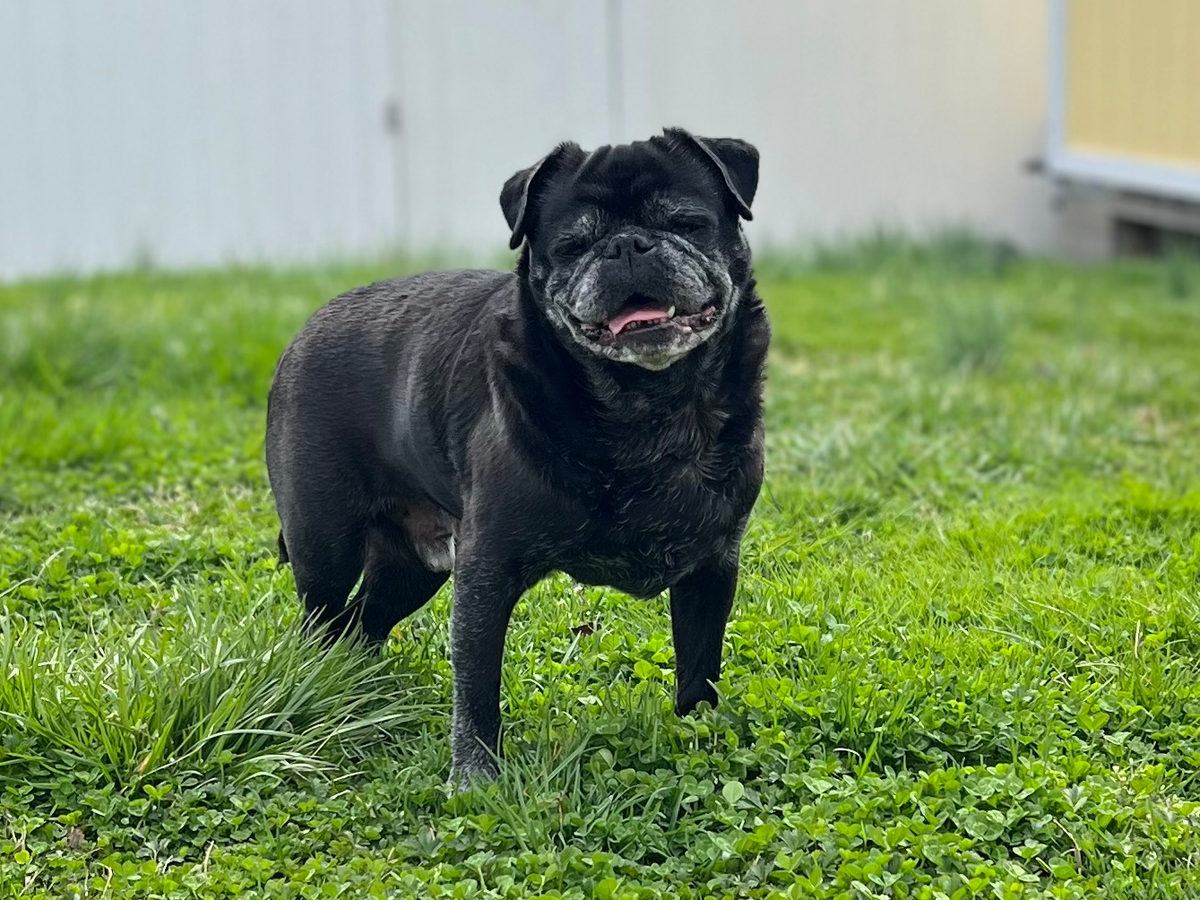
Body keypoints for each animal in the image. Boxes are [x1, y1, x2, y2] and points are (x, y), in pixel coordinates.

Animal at [265, 128, 770, 783]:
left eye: (687, 223)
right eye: (572, 245)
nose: (626, 245)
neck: (647, 405)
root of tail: (301, 334)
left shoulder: (711, 569)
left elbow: (699, 669)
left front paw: (700, 741)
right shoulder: (487, 571)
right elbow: (477, 683)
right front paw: (475, 776)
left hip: (413, 569)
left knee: (363, 623)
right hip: (326, 548)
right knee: (324, 623)